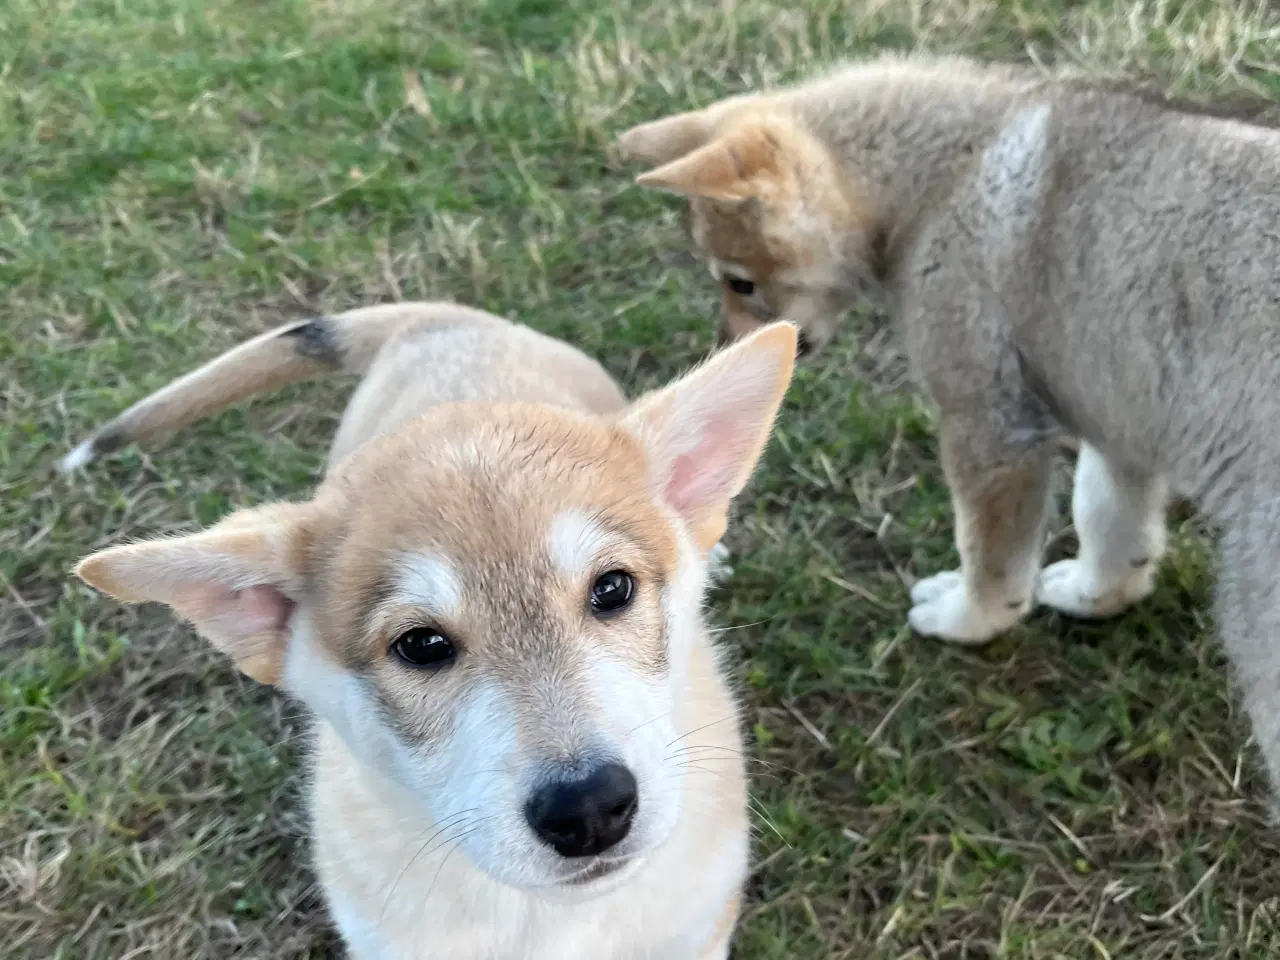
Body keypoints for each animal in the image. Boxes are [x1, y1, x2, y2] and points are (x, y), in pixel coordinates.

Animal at [616, 54, 1280, 803]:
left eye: (739, 282)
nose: (721, 352)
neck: (942, 181)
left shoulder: (988, 427)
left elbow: (991, 560)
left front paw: (970, 620)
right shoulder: (1117, 418)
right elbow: (1112, 526)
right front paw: (1095, 595)